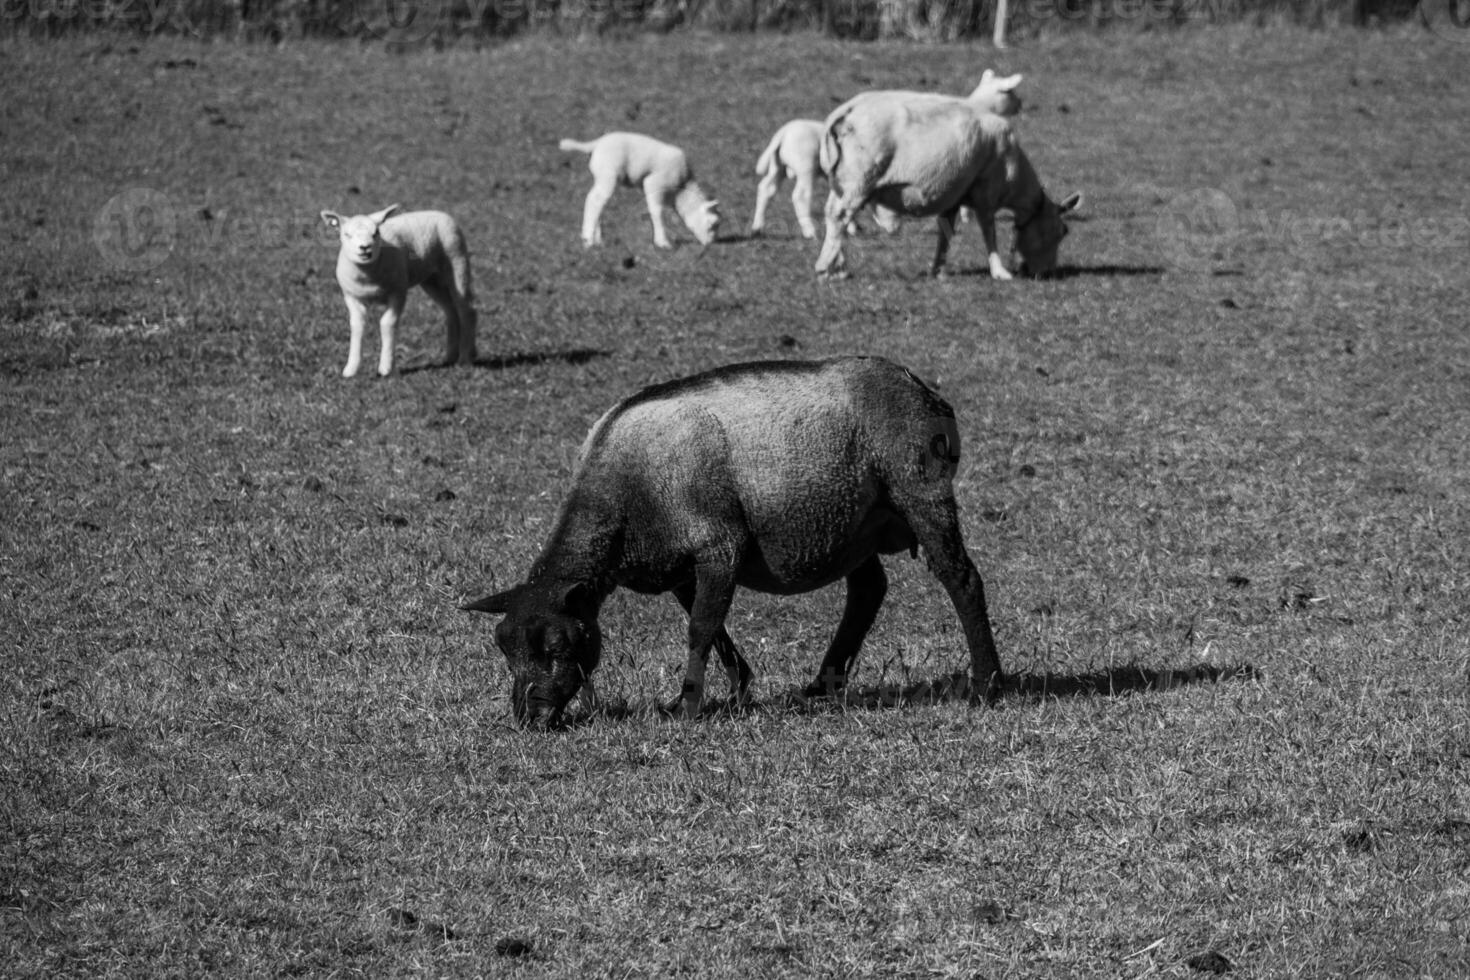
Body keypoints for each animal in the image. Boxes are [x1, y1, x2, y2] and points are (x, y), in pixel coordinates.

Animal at [320, 204, 476, 379]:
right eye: (347, 234)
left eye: (376, 233)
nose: (365, 247)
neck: (368, 278)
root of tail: (440, 213)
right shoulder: (352, 297)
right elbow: (357, 325)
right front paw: (351, 369)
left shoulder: (398, 293)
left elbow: (386, 323)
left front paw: (386, 367)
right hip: (432, 280)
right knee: (451, 312)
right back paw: (450, 356)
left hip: (457, 261)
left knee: (467, 311)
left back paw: (465, 358)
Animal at [464, 357, 1005, 725]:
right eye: (504, 649)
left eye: (558, 645)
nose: (531, 718)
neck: (620, 498)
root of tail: (922, 389)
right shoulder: (680, 567)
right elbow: (712, 627)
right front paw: (737, 688)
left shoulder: (719, 546)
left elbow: (701, 627)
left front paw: (687, 705)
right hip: (858, 522)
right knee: (868, 591)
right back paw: (821, 685)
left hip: (919, 490)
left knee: (961, 578)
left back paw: (986, 685)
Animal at [558, 132, 720, 249]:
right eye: (712, 224)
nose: (709, 245)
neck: (682, 191)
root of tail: (597, 143)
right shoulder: (654, 183)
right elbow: (656, 211)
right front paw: (662, 242)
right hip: (608, 173)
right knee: (595, 201)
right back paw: (588, 240)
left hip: (602, 175)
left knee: (598, 202)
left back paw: (597, 240)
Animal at [746, 69, 1023, 239]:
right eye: (1011, 93)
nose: (1021, 105)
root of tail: (781, 134)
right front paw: (966, 218)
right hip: (808, 167)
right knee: (802, 196)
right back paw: (811, 230)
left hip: (780, 167)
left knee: (766, 189)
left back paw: (758, 227)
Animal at [817, 93, 1081, 279]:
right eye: (1063, 231)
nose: (1046, 273)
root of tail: (846, 111)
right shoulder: (986, 192)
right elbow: (989, 232)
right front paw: (1000, 272)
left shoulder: (955, 196)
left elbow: (945, 233)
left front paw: (938, 269)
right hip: (861, 177)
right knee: (840, 215)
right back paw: (824, 267)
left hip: (841, 180)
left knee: (832, 215)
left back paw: (838, 268)